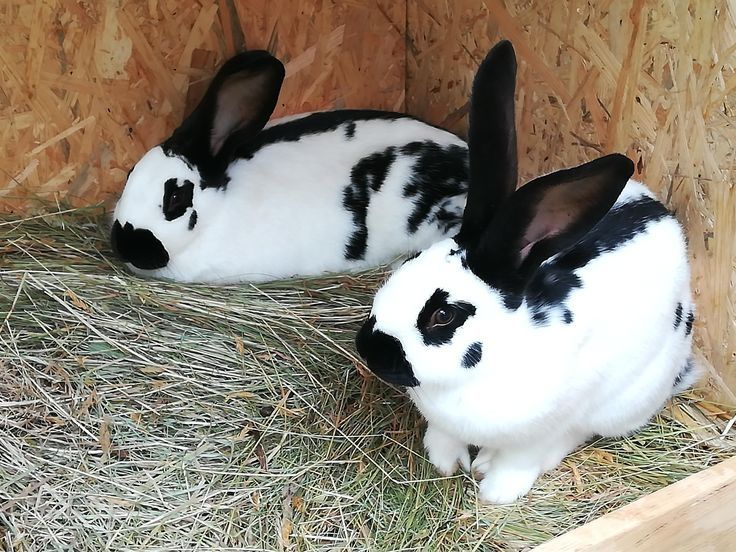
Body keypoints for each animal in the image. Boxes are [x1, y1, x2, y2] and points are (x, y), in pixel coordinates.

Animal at [354, 40, 698, 504]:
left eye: (443, 315)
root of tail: (660, 211)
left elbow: (523, 458)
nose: (369, 349)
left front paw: (494, 491)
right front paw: (446, 462)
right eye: (408, 265)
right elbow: (443, 435)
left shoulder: (545, 425)